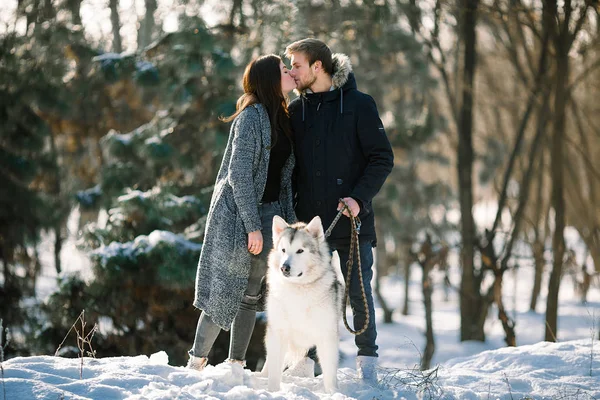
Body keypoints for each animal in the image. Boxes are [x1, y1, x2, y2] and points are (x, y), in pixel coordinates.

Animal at [262, 216, 342, 394]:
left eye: (300, 251)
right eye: (283, 250)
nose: (284, 267)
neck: (297, 289)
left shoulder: (327, 336)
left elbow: (329, 372)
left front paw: (332, 393)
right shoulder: (278, 333)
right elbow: (274, 371)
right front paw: (272, 392)